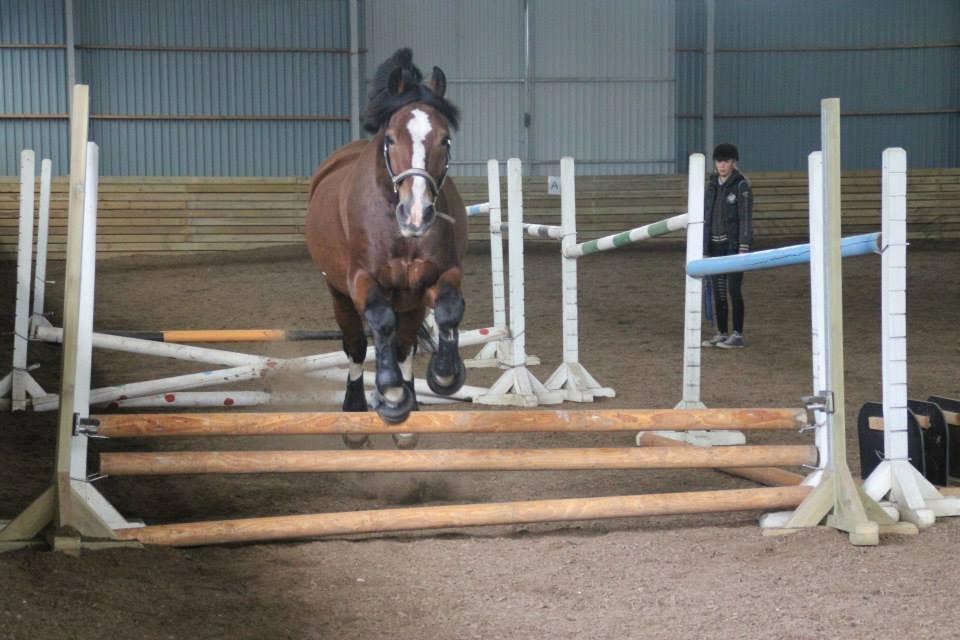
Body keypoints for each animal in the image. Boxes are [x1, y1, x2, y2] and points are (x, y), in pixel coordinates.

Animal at [306, 50, 466, 444]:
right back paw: (356, 413)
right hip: (338, 293)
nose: (416, 214)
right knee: (357, 345)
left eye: (445, 140)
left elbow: (449, 310)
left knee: (403, 343)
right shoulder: (360, 280)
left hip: (409, 300)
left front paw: (444, 374)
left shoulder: (439, 274)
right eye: (391, 139)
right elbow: (378, 322)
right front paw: (391, 394)